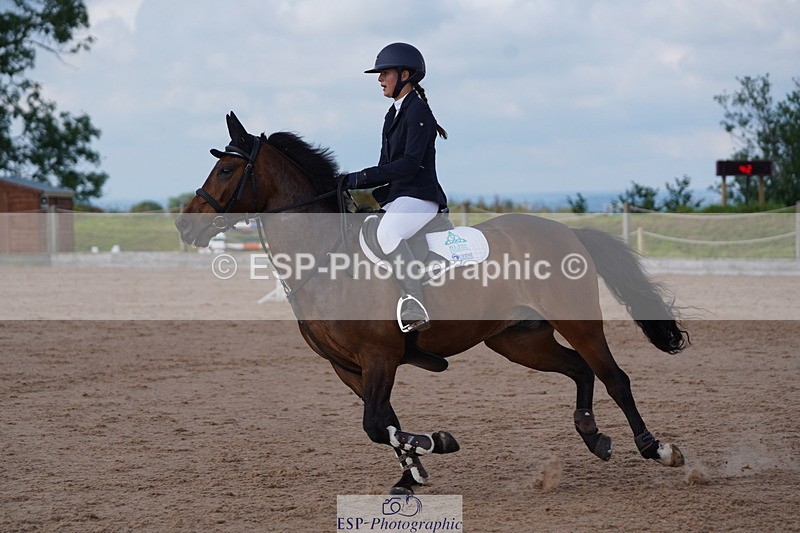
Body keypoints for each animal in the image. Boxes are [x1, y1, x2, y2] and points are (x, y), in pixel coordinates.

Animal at [175, 112, 689, 494]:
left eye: (226, 170)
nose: (184, 225)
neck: (324, 259)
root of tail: (566, 231)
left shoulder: (380, 356)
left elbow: (375, 424)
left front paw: (436, 443)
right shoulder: (347, 367)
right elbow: (384, 422)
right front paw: (413, 472)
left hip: (578, 322)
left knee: (615, 378)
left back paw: (657, 449)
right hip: (518, 340)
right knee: (581, 371)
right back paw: (593, 436)